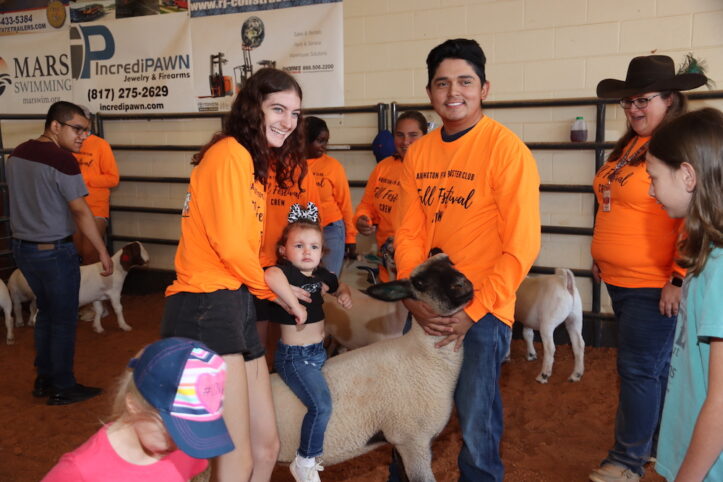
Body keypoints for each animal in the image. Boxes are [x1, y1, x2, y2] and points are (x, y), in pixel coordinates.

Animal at [7, 243, 149, 334]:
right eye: (137, 250)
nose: (148, 259)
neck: (117, 269)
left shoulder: (97, 296)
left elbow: (98, 310)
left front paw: (98, 327)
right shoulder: (114, 293)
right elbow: (119, 309)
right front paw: (125, 326)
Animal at [272, 252, 476, 482]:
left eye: (450, 262)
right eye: (419, 283)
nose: (463, 285)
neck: (424, 355)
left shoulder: (401, 441)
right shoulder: (413, 439)